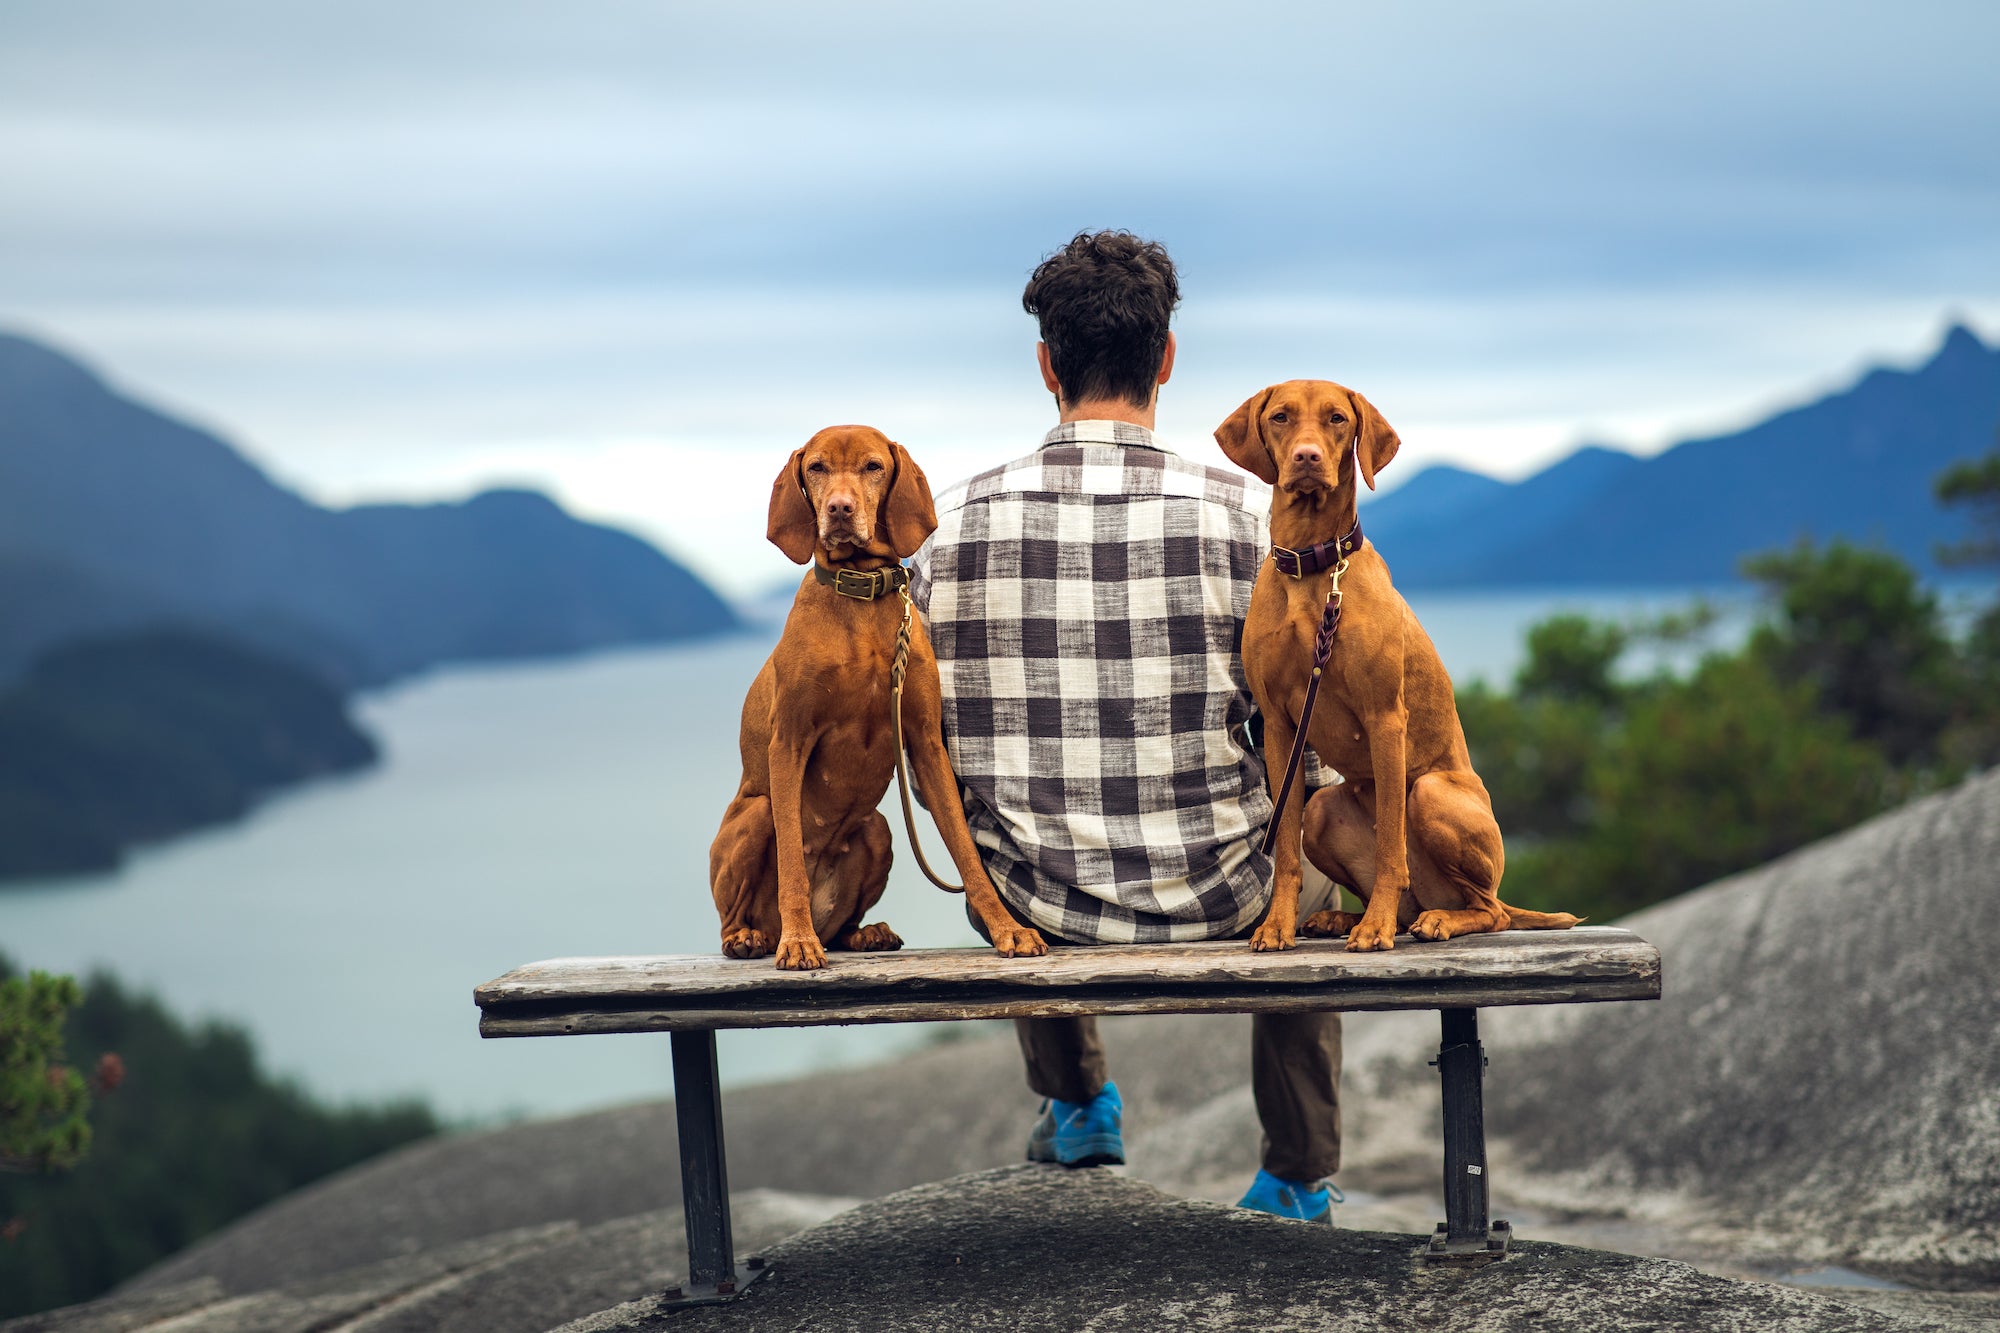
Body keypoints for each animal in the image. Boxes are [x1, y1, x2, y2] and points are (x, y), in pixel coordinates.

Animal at [708, 426, 1048, 964]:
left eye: (873, 466)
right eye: (816, 467)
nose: (840, 509)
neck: (861, 599)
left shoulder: (925, 742)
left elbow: (967, 854)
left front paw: (1008, 929)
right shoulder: (789, 742)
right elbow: (791, 862)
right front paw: (798, 942)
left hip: (878, 828)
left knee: (843, 923)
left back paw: (863, 933)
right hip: (757, 814)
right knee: (736, 915)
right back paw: (754, 937)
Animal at [1216, 378, 1576, 948]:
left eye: (1337, 418)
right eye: (1280, 417)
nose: (1307, 457)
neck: (1315, 566)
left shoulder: (1385, 718)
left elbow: (1390, 844)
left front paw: (1375, 928)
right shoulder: (1277, 726)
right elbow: (1286, 851)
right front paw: (1276, 926)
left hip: (1431, 794)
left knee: (1489, 909)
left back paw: (1432, 920)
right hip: (1323, 809)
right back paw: (1345, 918)